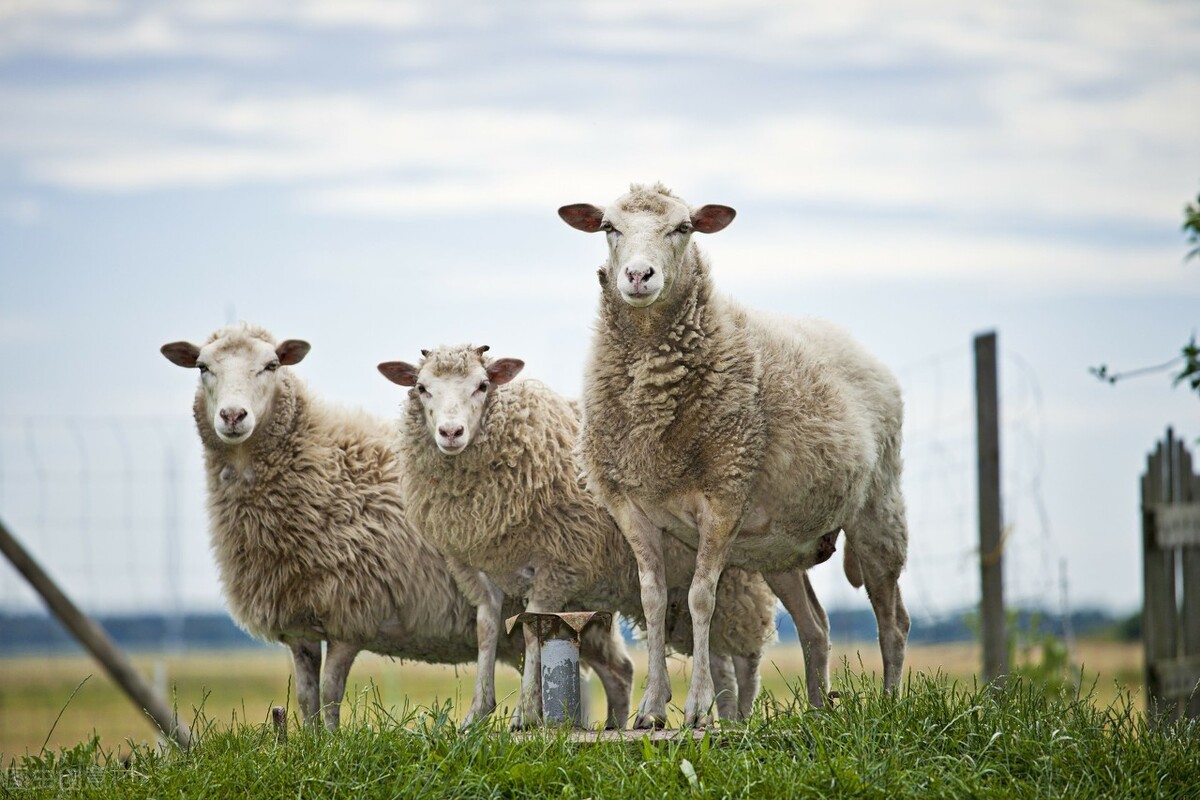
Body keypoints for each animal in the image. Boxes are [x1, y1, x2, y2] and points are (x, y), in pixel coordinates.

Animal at [159, 326, 633, 734]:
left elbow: (330, 692)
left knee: (618, 670)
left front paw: (332, 744)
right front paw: (310, 743)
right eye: (202, 367)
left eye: (272, 364)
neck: (318, 459)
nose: (232, 416)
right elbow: (307, 697)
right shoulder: (300, 622)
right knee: (612, 671)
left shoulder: (350, 614)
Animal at [376, 340, 777, 729]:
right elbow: (486, 632)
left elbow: (529, 632)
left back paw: (739, 717)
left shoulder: (555, 565)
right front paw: (476, 714)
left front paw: (525, 713)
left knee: (744, 656)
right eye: (421, 388)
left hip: (736, 577)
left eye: (482, 385)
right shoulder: (478, 572)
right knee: (716, 655)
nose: (450, 433)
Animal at [561, 183, 907, 734]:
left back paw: (892, 705)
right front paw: (651, 709)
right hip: (779, 548)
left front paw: (700, 708)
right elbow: (653, 599)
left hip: (879, 510)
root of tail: (856, 346)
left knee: (892, 621)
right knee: (816, 626)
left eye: (683, 227)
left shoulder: (724, 494)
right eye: (609, 227)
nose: (638, 275)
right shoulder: (629, 506)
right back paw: (817, 713)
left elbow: (702, 597)